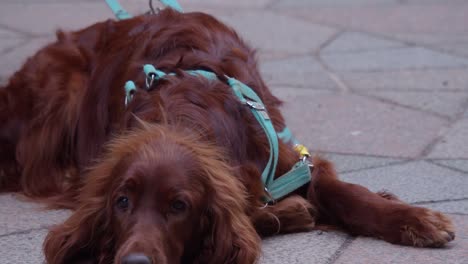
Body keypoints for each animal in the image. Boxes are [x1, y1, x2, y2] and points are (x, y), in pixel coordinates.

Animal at [0, 8, 454, 264]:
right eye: (121, 202)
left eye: (179, 205)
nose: (135, 262)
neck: (181, 116)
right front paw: (286, 212)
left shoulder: (287, 158)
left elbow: (346, 193)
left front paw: (416, 220)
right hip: (61, 83)